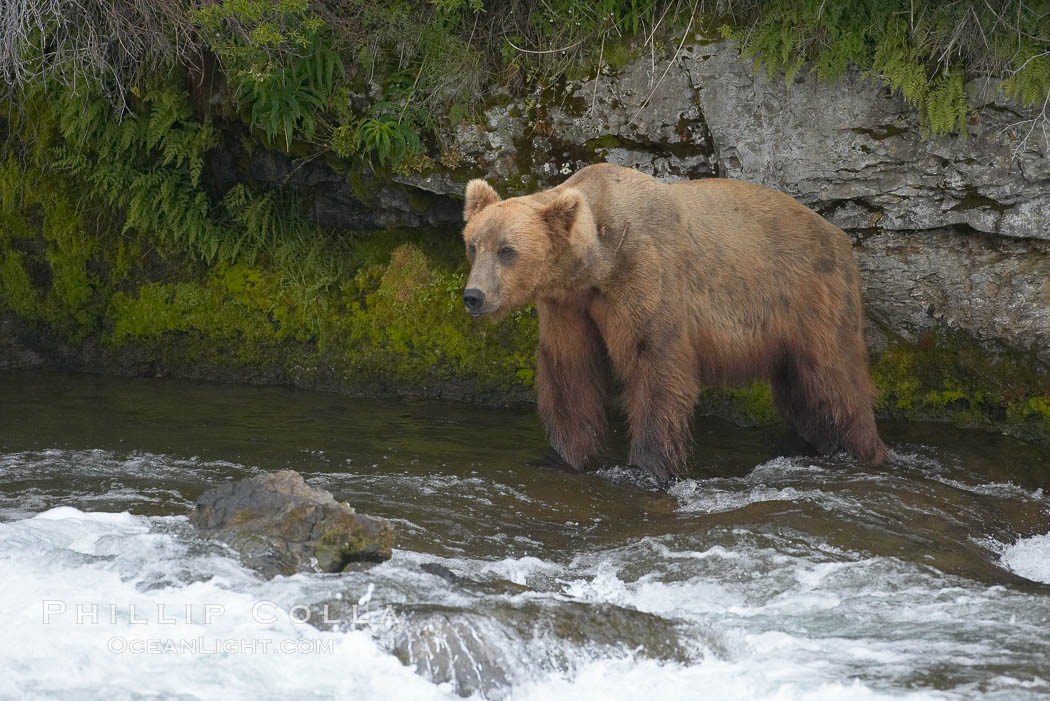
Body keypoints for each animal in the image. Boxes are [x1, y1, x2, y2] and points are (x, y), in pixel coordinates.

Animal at [459, 162, 886, 482]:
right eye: (473, 244)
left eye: (508, 250)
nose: (474, 296)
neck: (597, 264)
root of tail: (840, 235)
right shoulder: (569, 305)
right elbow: (570, 372)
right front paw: (566, 454)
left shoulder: (644, 276)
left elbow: (656, 366)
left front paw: (649, 466)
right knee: (804, 397)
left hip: (812, 296)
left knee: (834, 379)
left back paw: (867, 450)